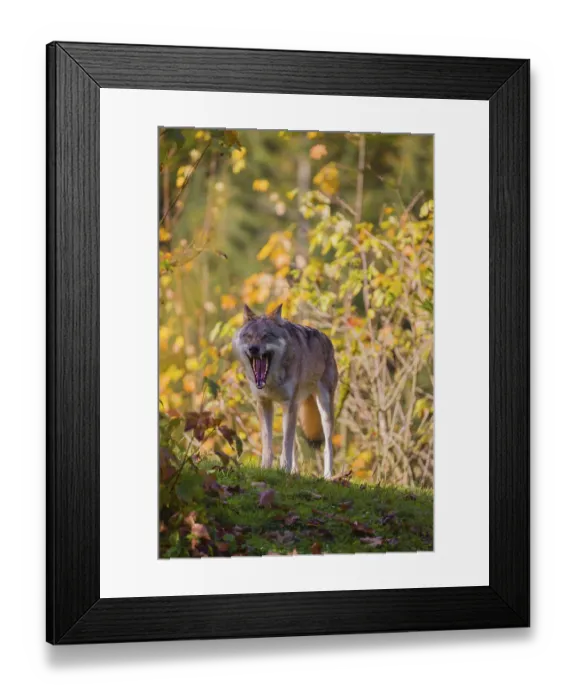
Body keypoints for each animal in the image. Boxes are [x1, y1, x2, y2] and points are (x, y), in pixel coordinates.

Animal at [232, 304, 338, 478]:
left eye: (266, 336)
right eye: (248, 336)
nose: (253, 349)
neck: (271, 381)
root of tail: (326, 339)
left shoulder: (290, 404)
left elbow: (286, 443)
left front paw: (284, 468)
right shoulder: (265, 403)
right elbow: (268, 441)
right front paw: (266, 468)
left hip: (324, 409)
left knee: (328, 446)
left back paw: (328, 476)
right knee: (293, 440)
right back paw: (294, 471)